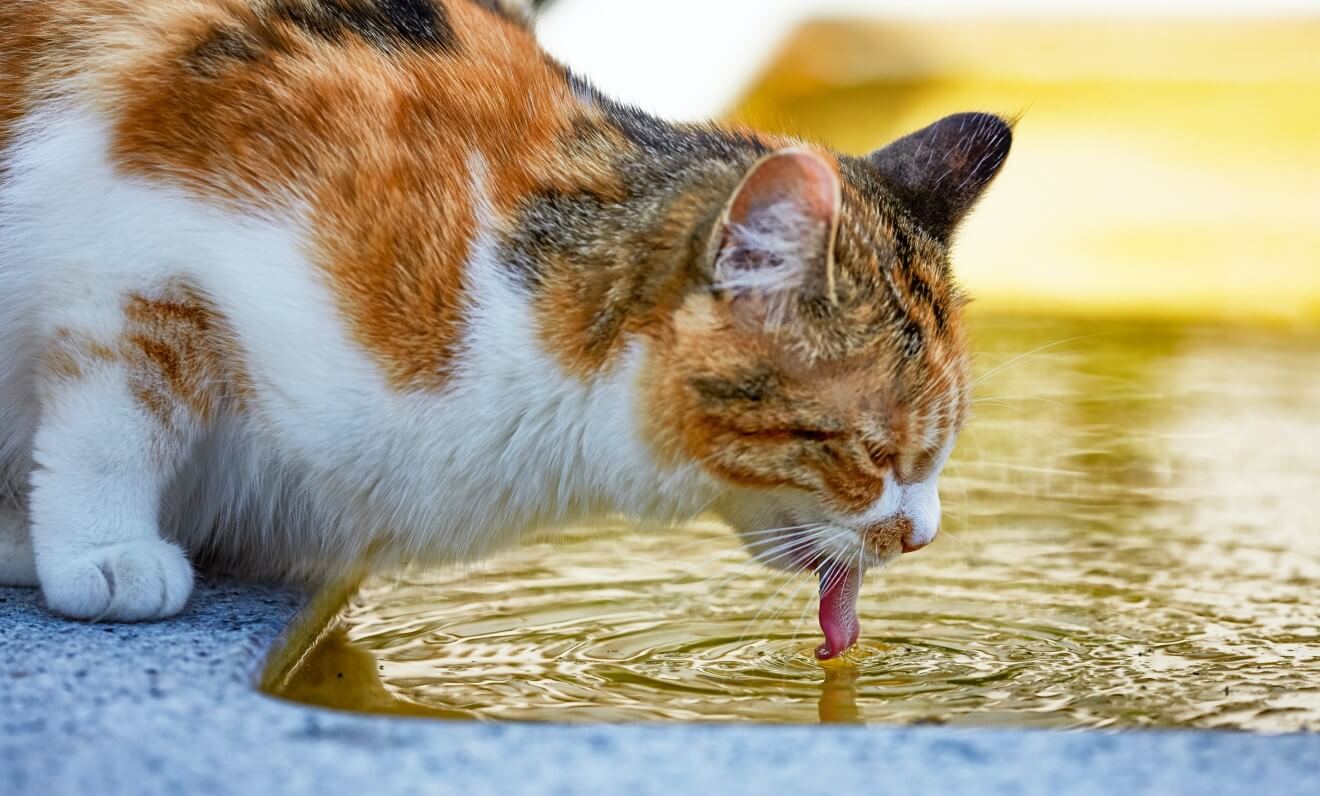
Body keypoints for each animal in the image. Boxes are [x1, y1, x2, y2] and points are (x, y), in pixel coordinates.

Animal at [0, 0, 1008, 660]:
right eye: (873, 453)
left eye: (937, 454)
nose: (922, 535)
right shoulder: (134, 243)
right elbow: (123, 413)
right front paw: (99, 550)